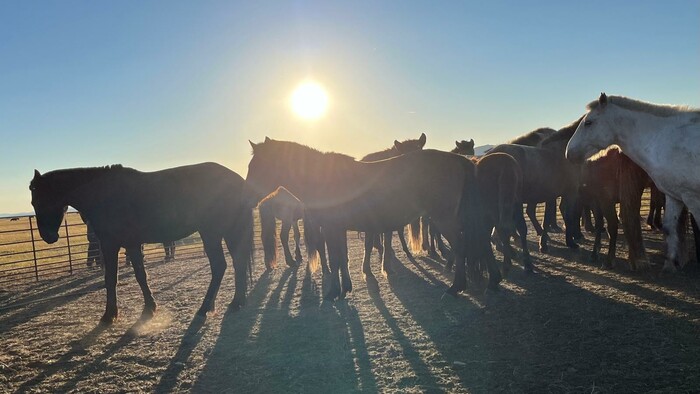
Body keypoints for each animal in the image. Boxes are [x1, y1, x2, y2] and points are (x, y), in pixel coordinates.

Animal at [30, 162, 256, 324]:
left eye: (39, 200)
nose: (48, 236)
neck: (102, 194)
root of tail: (238, 181)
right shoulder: (131, 244)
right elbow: (140, 275)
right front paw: (149, 307)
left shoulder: (110, 245)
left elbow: (111, 279)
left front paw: (109, 315)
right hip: (227, 232)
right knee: (238, 263)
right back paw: (236, 302)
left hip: (212, 232)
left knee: (220, 266)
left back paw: (206, 308)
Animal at [568, 92, 700, 272]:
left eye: (588, 122)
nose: (568, 153)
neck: (666, 140)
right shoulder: (674, 195)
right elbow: (669, 228)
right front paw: (670, 265)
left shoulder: (692, 197)